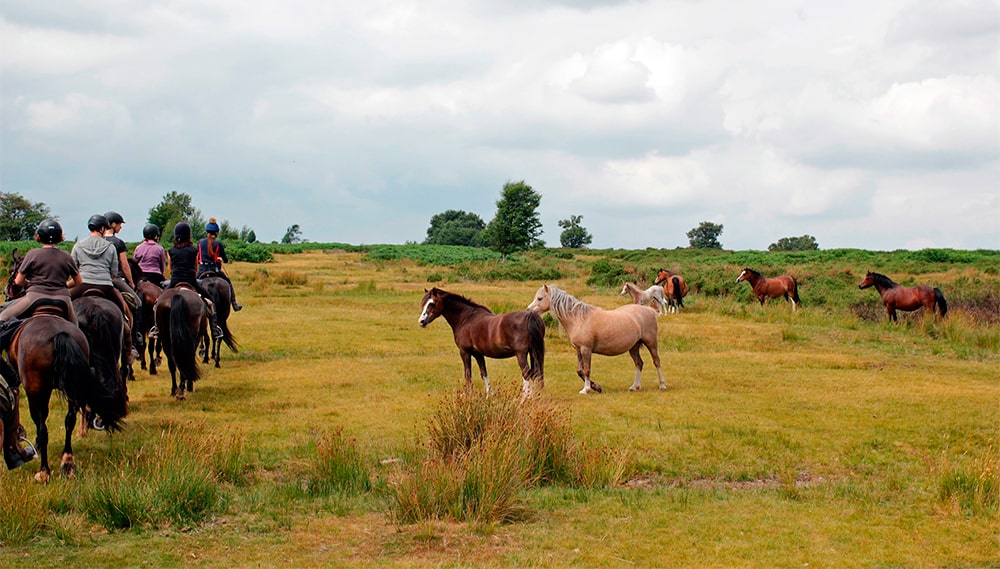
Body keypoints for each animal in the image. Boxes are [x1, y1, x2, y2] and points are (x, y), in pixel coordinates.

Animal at [10, 316, 128, 480]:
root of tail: (59, 333)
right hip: (73, 389)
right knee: (69, 421)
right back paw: (68, 462)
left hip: (37, 391)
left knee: (43, 428)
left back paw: (44, 471)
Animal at [420, 286, 548, 398]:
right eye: (424, 304)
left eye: (432, 303)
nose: (421, 321)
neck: (466, 319)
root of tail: (530, 316)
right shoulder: (478, 354)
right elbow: (484, 373)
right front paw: (489, 396)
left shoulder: (465, 352)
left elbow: (468, 374)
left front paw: (468, 396)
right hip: (533, 353)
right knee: (535, 373)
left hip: (521, 354)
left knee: (526, 374)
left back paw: (523, 400)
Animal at [524, 284, 664, 394]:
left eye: (540, 298)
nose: (528, 310)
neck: (579, 318)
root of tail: (650, 310)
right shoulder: (578, 350)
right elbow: (579, 371)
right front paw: (596, 387)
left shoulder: (586, 349)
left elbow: (586, 370)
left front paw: (586, 389)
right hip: (634, 347)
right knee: (639, 363)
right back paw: (634, 386)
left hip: (651, 343)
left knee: (657, 361)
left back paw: (662, 385)